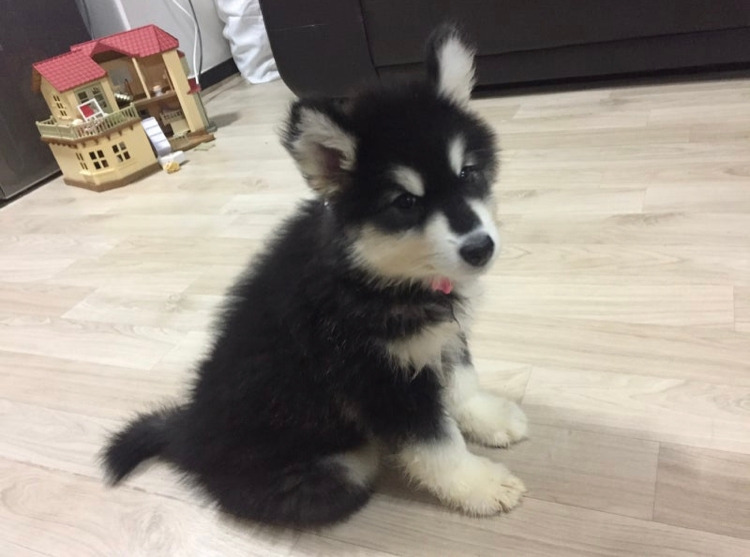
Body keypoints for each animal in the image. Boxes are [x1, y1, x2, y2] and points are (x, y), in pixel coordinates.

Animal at [103, 25, 527, 527]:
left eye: (468, 174)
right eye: (406, 202)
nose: (480, 247)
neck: (375, 275)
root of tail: (187, 434)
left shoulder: (438, 338)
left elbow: (461, 382)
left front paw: (489, 417)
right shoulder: (380, 381)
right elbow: (436, 444)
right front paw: (479, 484)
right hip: (342, 466)